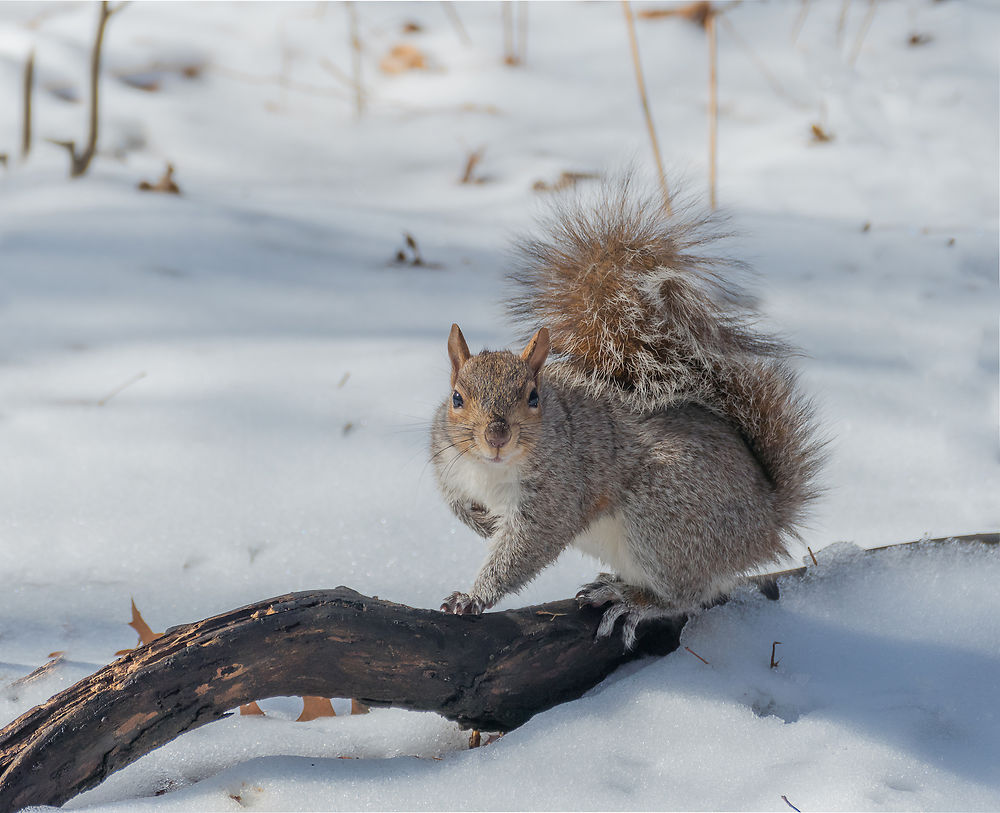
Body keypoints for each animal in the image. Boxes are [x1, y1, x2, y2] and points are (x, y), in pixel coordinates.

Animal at [426, 179, 824, 648]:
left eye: (533, 397)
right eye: (456, 398)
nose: (496, 436)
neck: (490, 470)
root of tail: (767, 521)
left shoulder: (559, 493)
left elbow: (524, 550)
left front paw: (474, 597)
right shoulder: (447, 461)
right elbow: (454, 503)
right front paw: (480, 522)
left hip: (664, 523)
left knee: (688, 594)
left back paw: (635, 602)